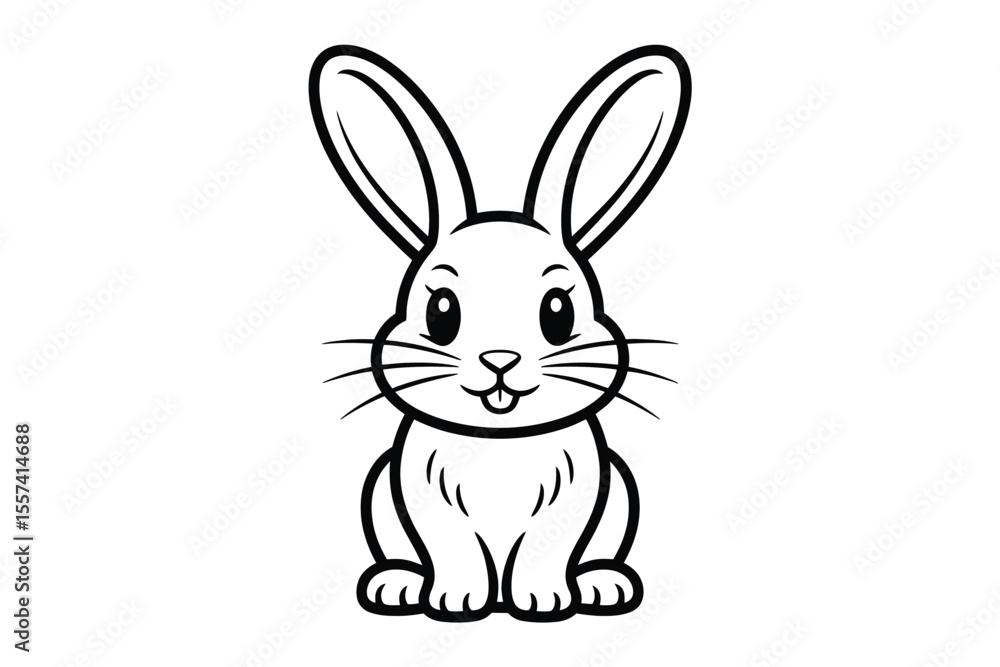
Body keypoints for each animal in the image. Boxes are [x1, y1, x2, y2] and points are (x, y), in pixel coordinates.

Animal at [310, 44, 691, 622]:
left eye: (558, 312)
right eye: (441, 312)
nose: (500, 361)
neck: (499, 445)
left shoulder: (573, 498)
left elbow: (544, 551)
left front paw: (543, 602)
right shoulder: (426, 499)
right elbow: (455, 551)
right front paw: (456, 602)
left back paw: (603, 585)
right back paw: (397, 585)